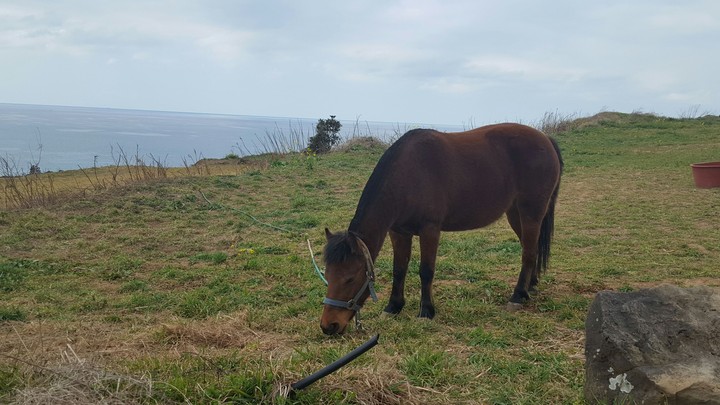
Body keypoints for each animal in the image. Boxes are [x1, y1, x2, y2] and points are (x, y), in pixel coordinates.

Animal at [320, 123, 563, 335]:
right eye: (327, 274)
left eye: (350, 278)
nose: (329, 326)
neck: (408, 174)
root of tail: (546, 139)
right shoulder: (398, 232)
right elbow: (399, 269)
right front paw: (393, 307)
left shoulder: (430, 230)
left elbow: (426, 271)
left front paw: (426, 311)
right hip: (515, 213)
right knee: (530, 248)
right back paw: (531, 286)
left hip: (531, 212)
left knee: (528, 253)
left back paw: (518, 296)